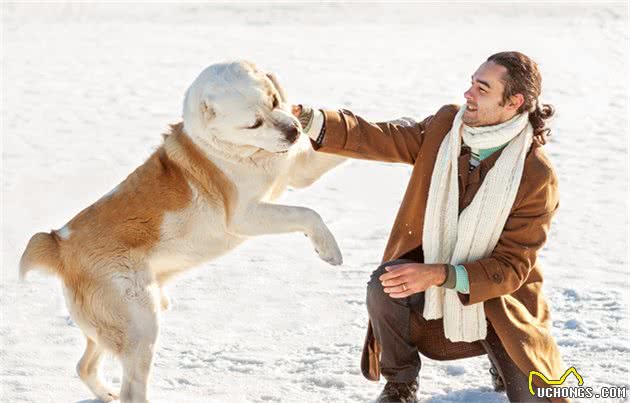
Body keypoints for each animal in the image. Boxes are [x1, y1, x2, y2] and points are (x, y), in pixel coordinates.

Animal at [21, 60, 346, 403]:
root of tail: (60, 244)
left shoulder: (300, 170)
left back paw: (105, 393)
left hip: (113, 327)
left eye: (273, 100)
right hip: (140, 324)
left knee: (84, 366)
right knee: (130, 388)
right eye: (253, 124)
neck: (231, 150)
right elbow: (307, 213)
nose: (293, 131)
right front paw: (328, 249)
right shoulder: (244, 216)